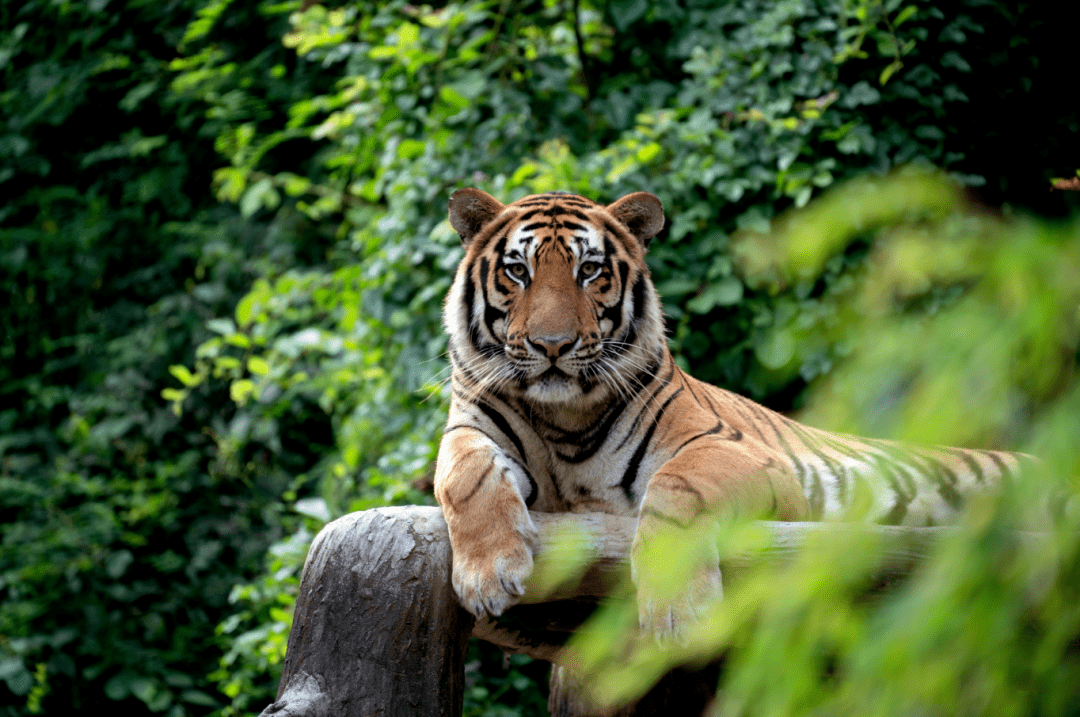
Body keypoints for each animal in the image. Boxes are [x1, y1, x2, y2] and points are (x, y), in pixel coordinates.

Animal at [432, 187, 1019, 634]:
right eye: (518, 272)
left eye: (590, 270)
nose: (552, 345)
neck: (563, 419)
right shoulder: (469, 428)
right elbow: (464, 475)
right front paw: (489, 575)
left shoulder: (744, 454)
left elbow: (675, 483)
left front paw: (678, 611)